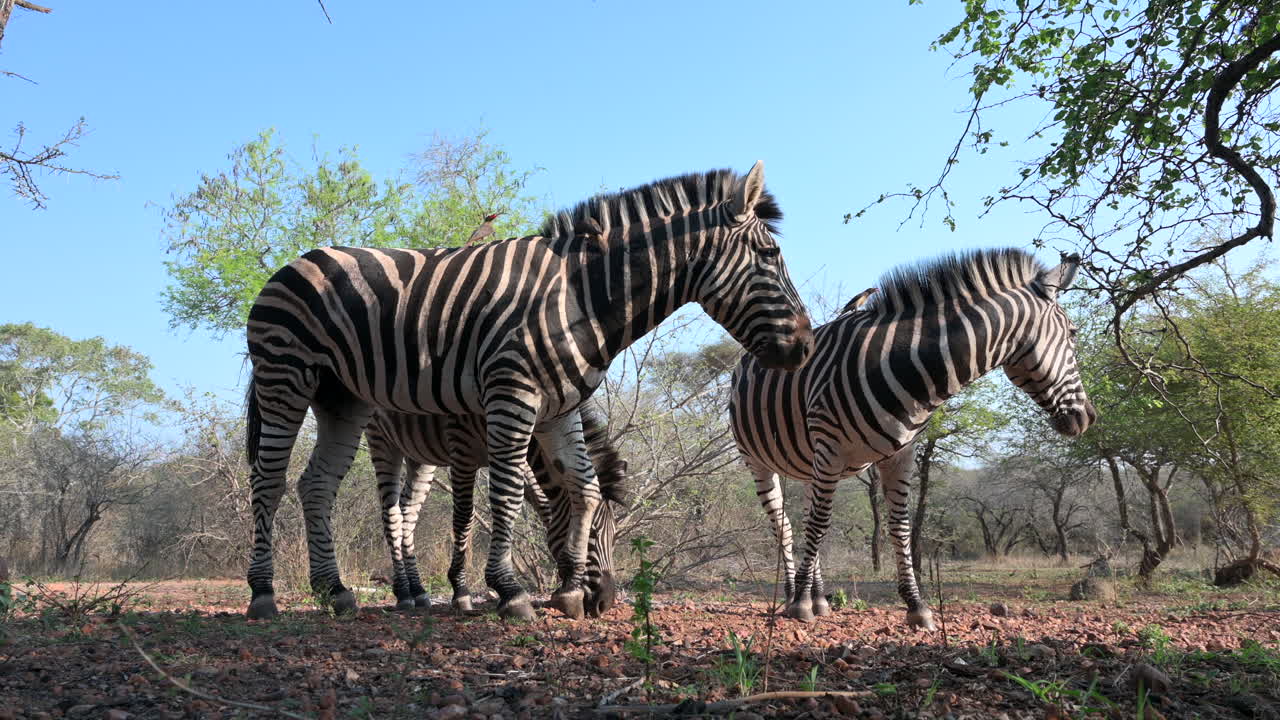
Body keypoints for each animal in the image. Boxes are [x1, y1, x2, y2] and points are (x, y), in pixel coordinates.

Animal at [364, 397, 626, 616]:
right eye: (592, 533)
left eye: (615, 537)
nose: (605, 603)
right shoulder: (462, 451)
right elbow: (465, 517)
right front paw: (461, 593)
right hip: (381, 441)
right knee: (391, 516)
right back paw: (403, 593)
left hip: (419, 455)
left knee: (407, 515)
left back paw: (417, 590)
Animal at [729, 248, 1096, 629]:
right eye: (1073, 333)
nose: (1088, 418)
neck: (906, 368)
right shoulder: (829, 447)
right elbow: (819, 524)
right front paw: (800, 603)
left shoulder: (901, 454)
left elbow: (900, 529)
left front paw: (916, 605)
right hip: (759, 461)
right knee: (785, 525)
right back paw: (793, 593)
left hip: (808, 462)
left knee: (804, 516)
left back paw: (818, 596)